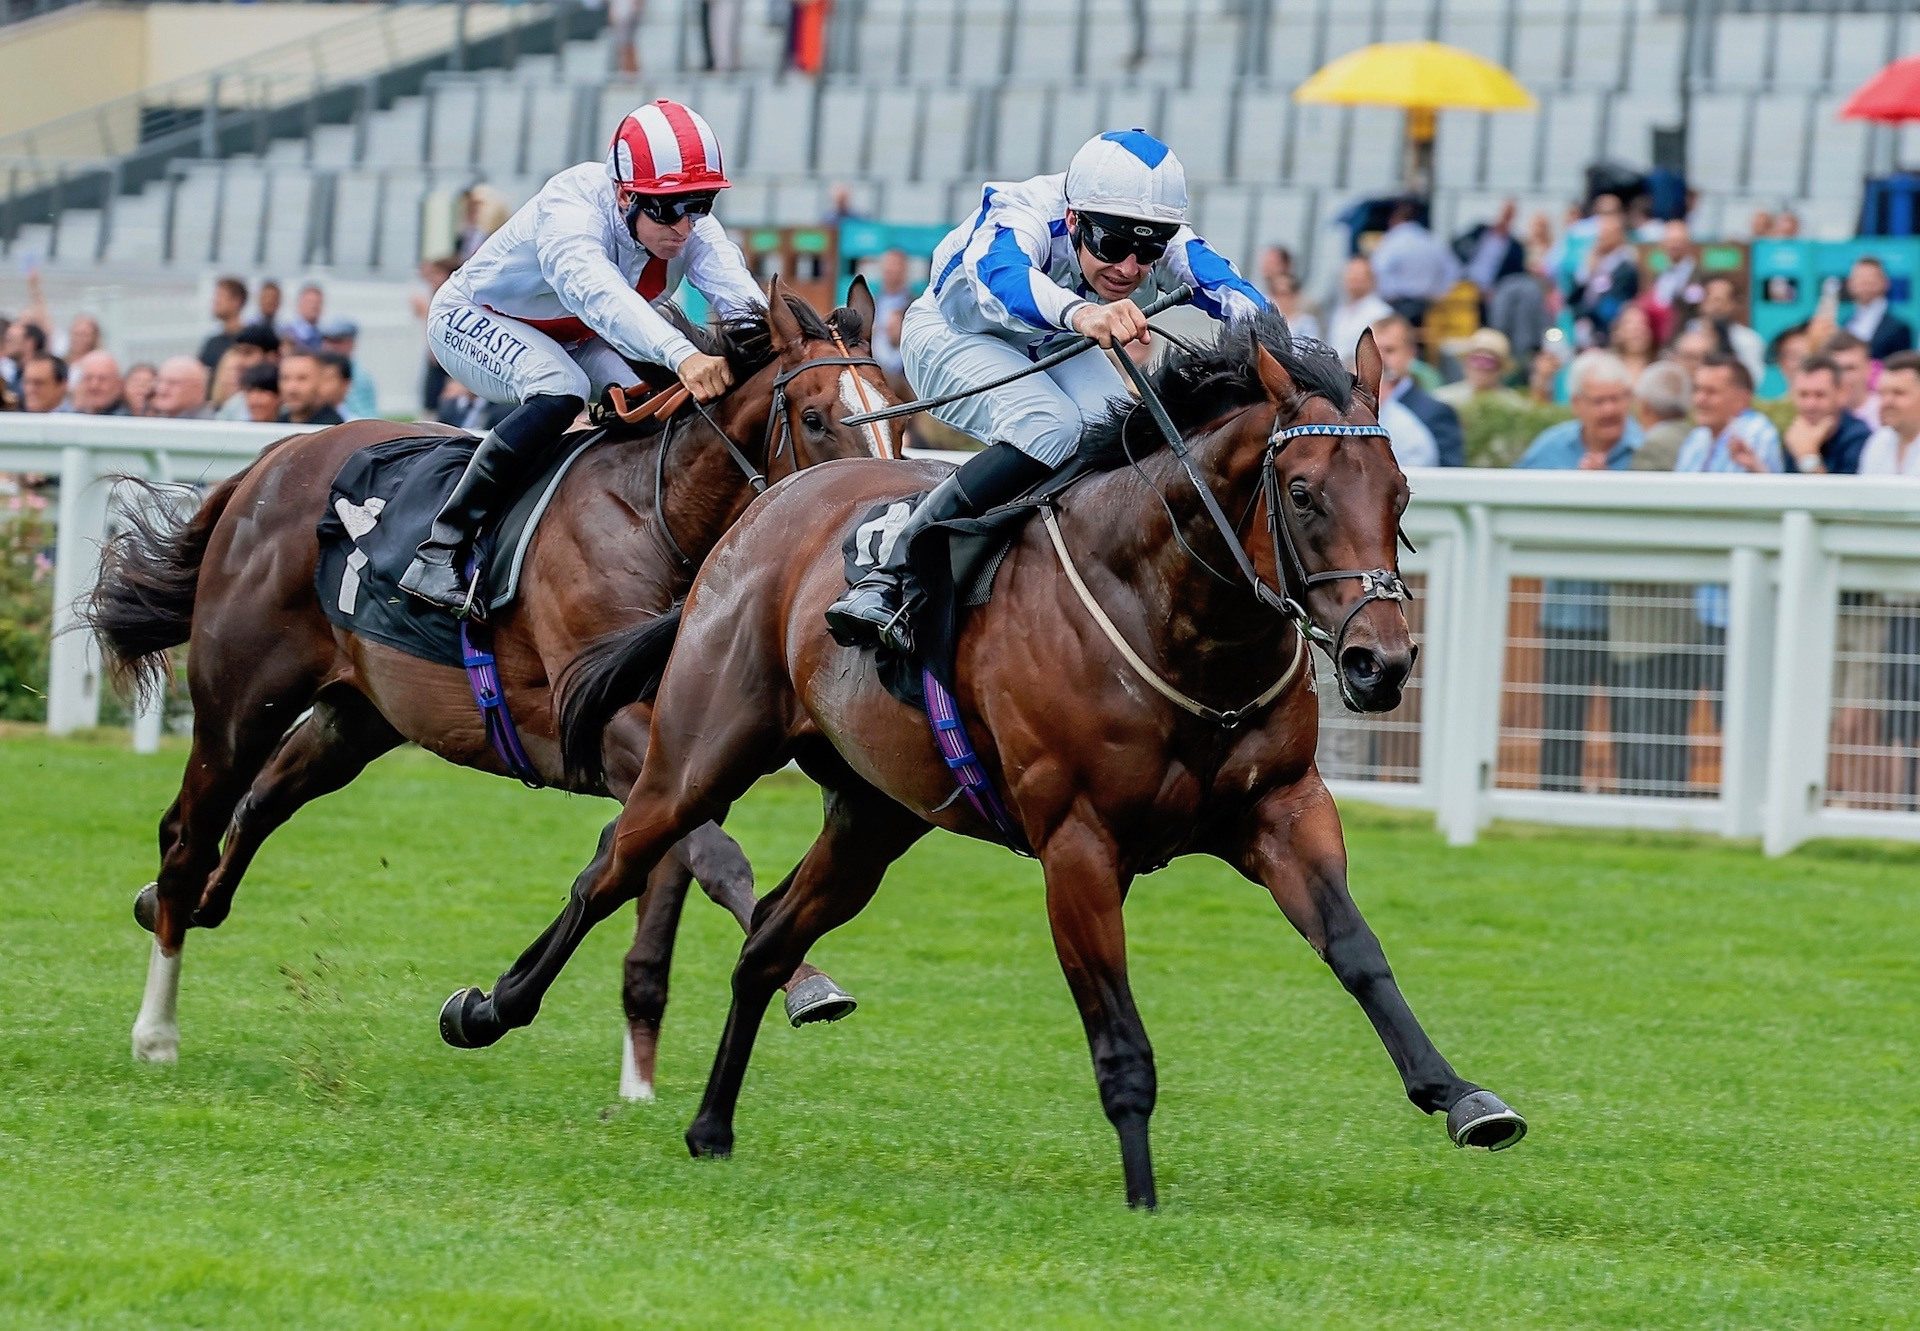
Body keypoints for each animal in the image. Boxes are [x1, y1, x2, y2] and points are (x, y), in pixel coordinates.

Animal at [86, 274, 902, 1098]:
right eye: (814, 417)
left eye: (895, 412)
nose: (870, 517)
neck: (655, 519)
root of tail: (273, 458)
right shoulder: (609, 729)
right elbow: (716, 858)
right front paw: (808, 981)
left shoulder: (684, 753)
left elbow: (668, 875)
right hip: (241, 697)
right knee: (189, 833)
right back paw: (156, 1030)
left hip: (360, 714)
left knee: (260, 803)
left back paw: (176, 907)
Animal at [435, 314, 1528, 1206]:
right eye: (1302, 493)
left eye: (1401, 492)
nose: (1381, 661)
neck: (1171, 614)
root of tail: (763, 514)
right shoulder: (1079, 843)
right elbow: (1120, 1037)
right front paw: (1142, 1199)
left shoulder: (1282, 808)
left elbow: (1357, 950)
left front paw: (1464, 1095)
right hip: (699, 754)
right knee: (613, 868)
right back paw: (484, 1008)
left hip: (874, 816)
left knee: (771, 937)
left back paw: (711, 1123)